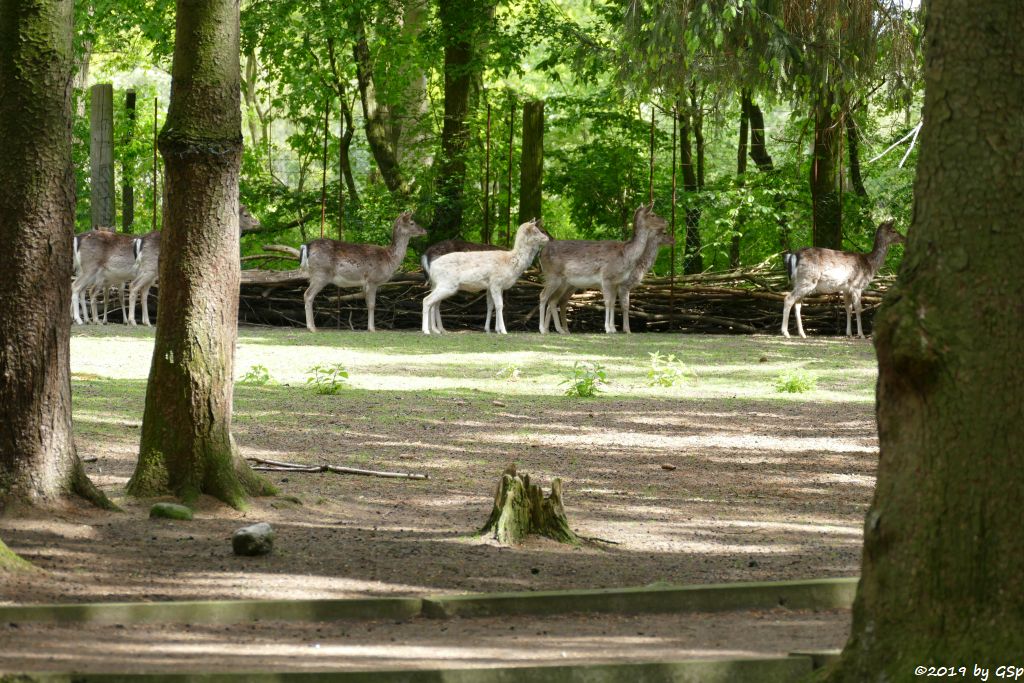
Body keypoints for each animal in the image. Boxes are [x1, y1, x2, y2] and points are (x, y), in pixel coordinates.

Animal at [536, 204, 671, 335]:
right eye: (653, 214)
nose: (666, 221)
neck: (626, 256)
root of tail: (541, 253)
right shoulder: (607, 278)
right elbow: (608, 302)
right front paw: (609, 329)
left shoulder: (615, 283)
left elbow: (613, 303)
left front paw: (613, 328)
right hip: (552, 276)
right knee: (543, 296)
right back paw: (543, 329)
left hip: (563, 283)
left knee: (553, 301)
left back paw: (559, 330)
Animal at [778, 219, 909, 339]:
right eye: (893, 230)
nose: (904, 238)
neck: (870, 265)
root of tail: (793, 255)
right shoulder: (857, 285)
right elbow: (858, 308)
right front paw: (861, 334)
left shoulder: (846, 289)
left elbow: (848, 308)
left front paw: (849, 333)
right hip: (808, 279)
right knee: (788, 298)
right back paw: (786, 333)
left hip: (800, 281)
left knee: (797, 304)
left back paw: (802, 334)